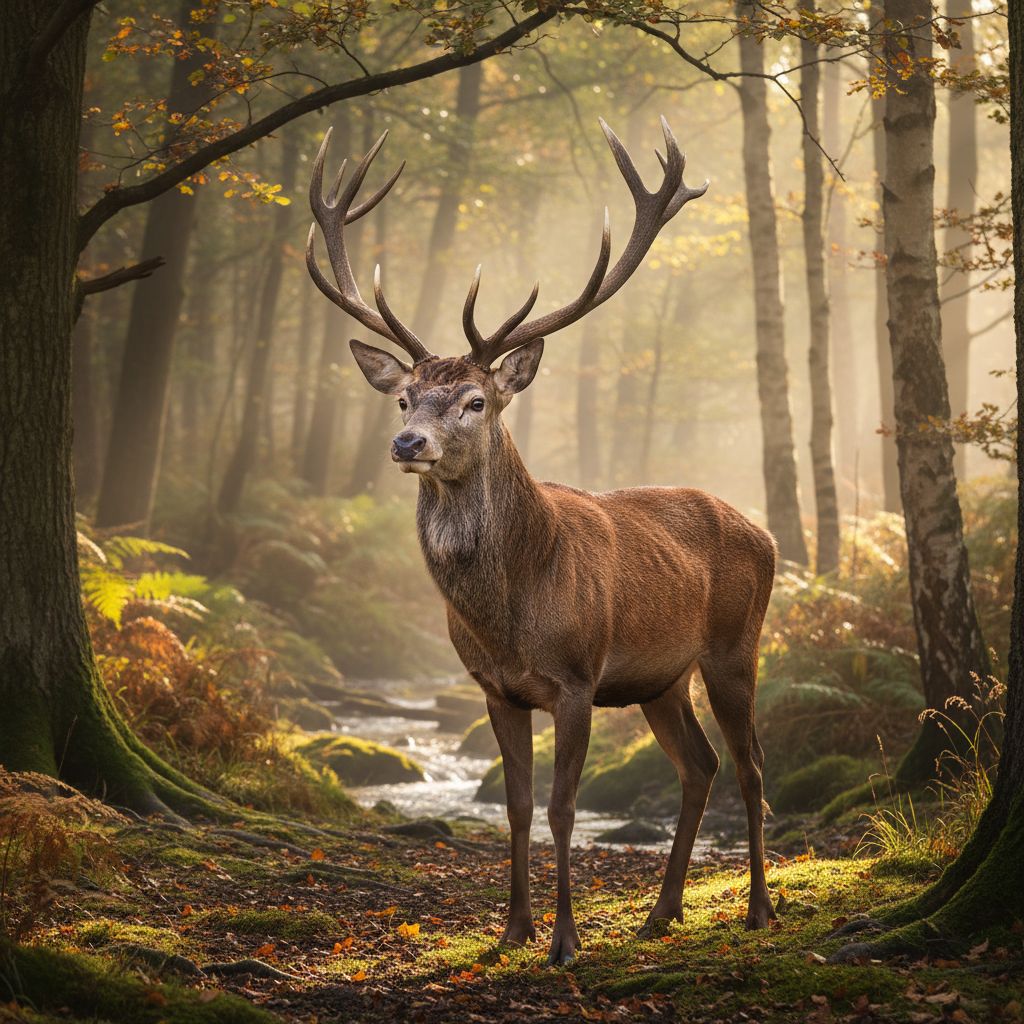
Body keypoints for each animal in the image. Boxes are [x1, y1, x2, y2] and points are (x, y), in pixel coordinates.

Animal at [305, 117, 778, 965]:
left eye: (475, 399)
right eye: (403, 397)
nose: (408, 444)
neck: (512, 611)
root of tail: (767, 533)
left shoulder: (577, 678)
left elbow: (563, 808)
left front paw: (563, 941)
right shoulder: (496, 688)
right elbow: (518, 808)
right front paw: (511, 931)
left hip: (734, 645)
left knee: (752, 767)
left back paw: (757, 909)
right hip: (661, 678)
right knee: (701, 765)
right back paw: (661, 912)